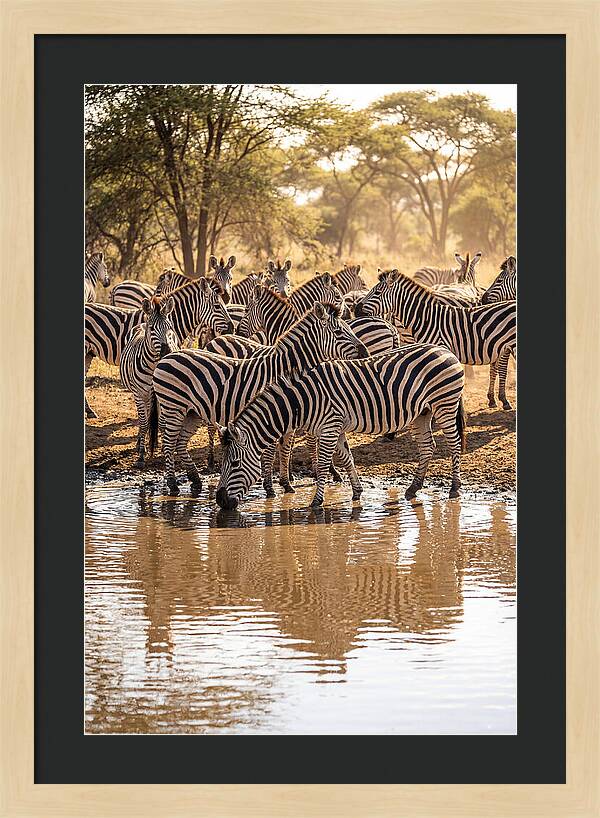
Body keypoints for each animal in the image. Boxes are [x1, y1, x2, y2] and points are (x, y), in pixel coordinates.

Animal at [119, 296, 179, 467]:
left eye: (170, 327)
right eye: (152, 329)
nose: (167, 352)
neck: (153, 366)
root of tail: (141, 324)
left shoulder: (165, 395)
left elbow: (163, 423)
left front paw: (165, 449)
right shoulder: (139, 394)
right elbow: (144, 422)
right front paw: (141, 455)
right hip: (140, 395)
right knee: (143, 418)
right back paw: (140, 441)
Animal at [148, 303, 369, 495]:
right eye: (339, 332)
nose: (365, 352)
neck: (284, 369)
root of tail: (166, 358)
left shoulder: (288, 414)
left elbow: (285, 449)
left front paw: (286, 484)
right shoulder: (272, 412)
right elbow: (271, 452)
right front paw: (270, 487)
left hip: (192, 412)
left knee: (179, 443)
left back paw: (195, 480)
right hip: (173, 407)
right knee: (168, 443)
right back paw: (173, 485)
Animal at [215, 343, 466, 509]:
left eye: (234, 463)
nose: (220, 501)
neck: (303, 400)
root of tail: (445, 350)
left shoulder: (329, 427)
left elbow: (323, 465)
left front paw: (316, 501)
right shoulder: (335, 428)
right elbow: (347, 459)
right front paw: (356, 492)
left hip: (444, 404)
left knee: (454, 444)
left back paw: (454, 487)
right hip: (421, 413)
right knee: (428, 447)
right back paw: (414, 487)